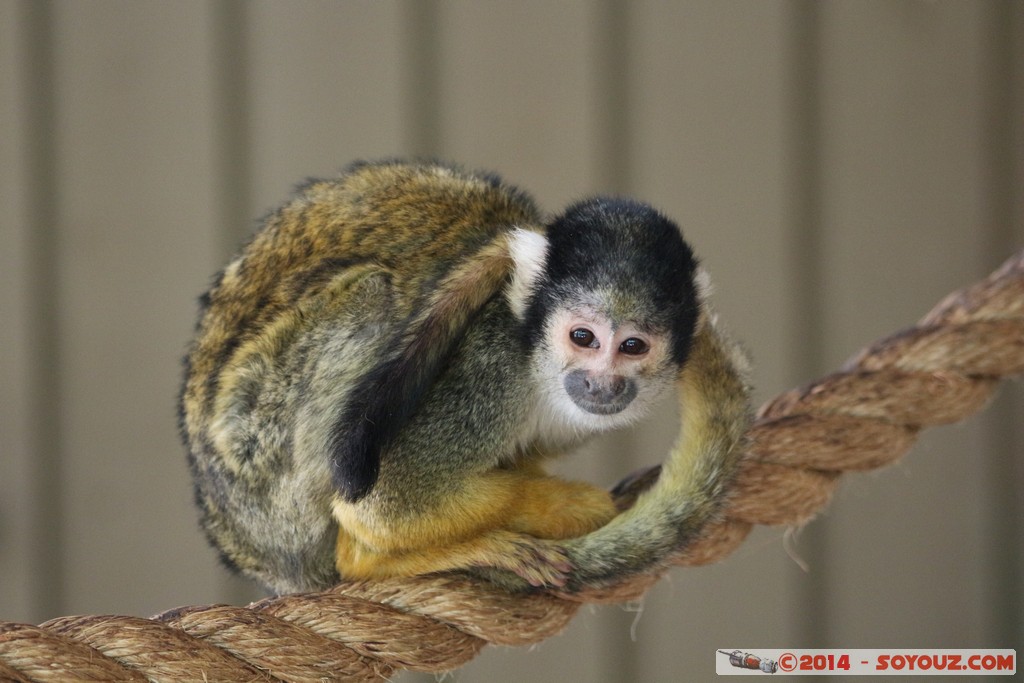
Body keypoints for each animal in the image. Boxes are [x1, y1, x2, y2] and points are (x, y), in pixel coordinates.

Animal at [180, 160, 749, 593]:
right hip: (263, 457)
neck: (536, 364)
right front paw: (565, 505)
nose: (600, 383)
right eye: (583, 337)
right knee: (372, 297)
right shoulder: (489, 366)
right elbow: (384, 508)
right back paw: (374, 562)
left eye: (632, 347)